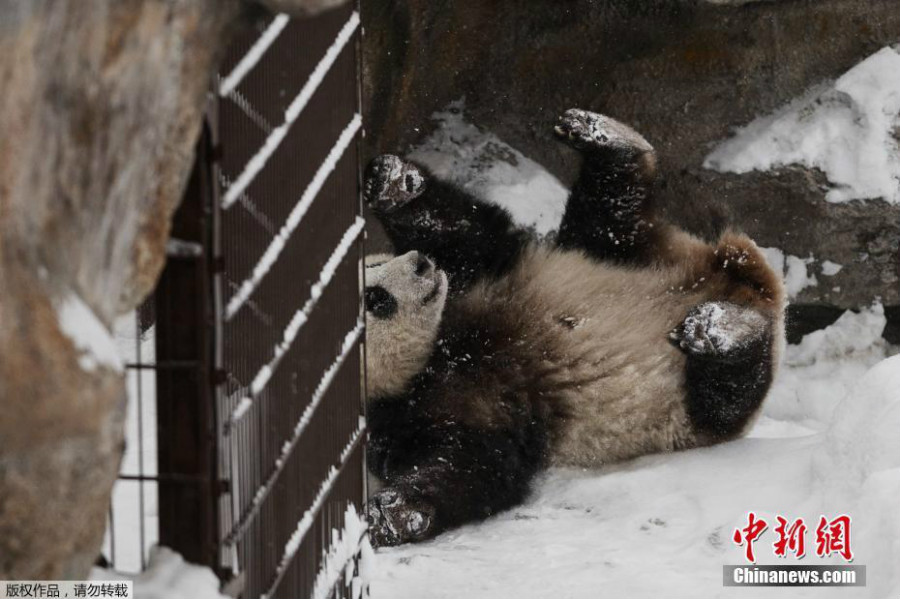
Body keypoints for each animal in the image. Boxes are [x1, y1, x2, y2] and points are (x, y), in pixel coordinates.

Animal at [362, 108, 784, 548]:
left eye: (376, 265)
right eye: (376, 298)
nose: (421, 265)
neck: (436, 354)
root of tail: (745, 284)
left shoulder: (478, 282)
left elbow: (473, 236)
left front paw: (393, 182)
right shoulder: (423, 416)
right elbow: (474, 463)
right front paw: (393, 513)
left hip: (608, 257)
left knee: (609, 216)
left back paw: (604, 138)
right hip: (685, 410)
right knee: (724, 395)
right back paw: (723, 332)